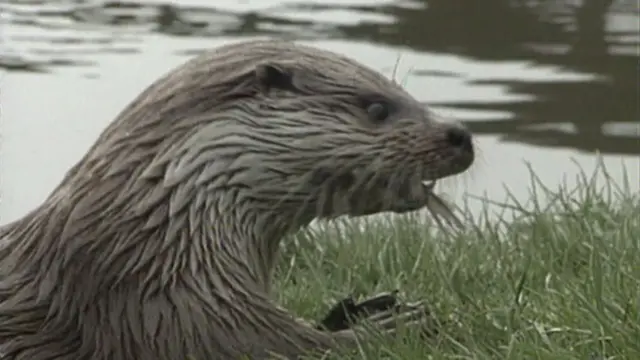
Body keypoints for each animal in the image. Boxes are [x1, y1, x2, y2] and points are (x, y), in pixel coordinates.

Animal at [0, 39, 470, 360]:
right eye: (376, 108)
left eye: (402, 92)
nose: (461, 134)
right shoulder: (174, 314)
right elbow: (288, 347)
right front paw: (393, 326)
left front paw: (364, 309)